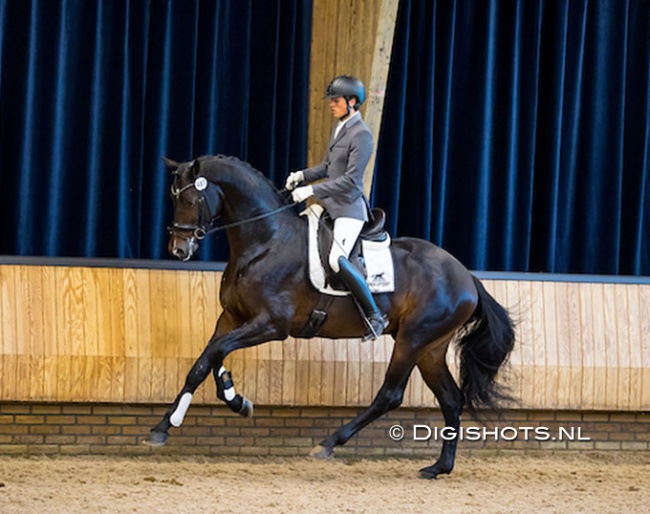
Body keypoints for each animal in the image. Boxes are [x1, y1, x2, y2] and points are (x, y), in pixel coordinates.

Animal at [146, 153, 512, 476]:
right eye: (173, 198)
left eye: (190, 199)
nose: (179, 249)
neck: (265, 242)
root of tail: (466, 275)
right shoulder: (231, 318)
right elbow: (205, 361)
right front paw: (198, 412)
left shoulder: (271, 325)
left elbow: (214, 354)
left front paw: (212, 408)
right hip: (430, 348)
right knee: (451, 399)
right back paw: (439, 468)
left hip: (413, 339)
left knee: (390, 395)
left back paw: (329, 443)